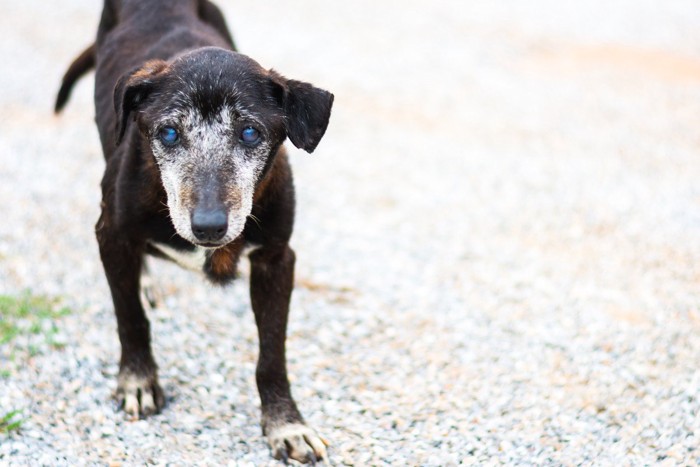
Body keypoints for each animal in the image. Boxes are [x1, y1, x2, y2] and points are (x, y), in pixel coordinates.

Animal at [54, 0, 334, 462]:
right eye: (168, 132)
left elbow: (272, 354)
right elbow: (129, 316)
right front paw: (138, 381)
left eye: (250, 132)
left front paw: (286, 424)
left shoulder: (277, 258)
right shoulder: (111, 235)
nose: (208, 226)